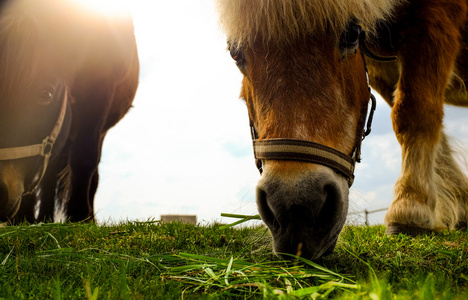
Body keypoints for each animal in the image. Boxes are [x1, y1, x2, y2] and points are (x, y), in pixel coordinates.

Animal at [218, 0, 468, 258]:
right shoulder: (378, 65)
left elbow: (415, 111)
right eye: (235, 53)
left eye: (351, 36)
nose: (296, 210)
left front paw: (410, 208)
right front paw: (459, 204)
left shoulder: (435, 18)